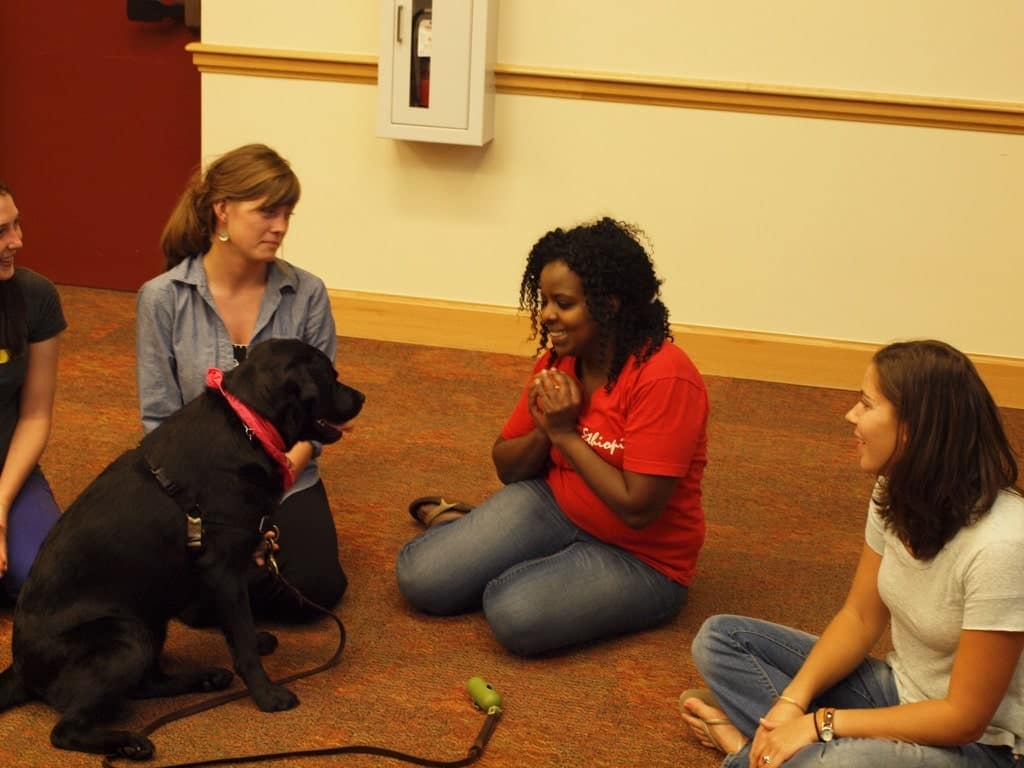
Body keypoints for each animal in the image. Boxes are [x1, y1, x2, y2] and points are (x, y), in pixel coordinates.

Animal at [0, 339, 364, 761]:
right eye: (330, 377)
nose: (362, 397)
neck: (250, 427)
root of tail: (19, 667)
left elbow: (240, 624)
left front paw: (258, 642)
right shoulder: (223, 569)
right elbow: (241, 639)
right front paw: (267, 694)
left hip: (150, 621)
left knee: (146, 683)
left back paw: (205, 678)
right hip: (126, 636)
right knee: (65, 730)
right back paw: (130, 742)